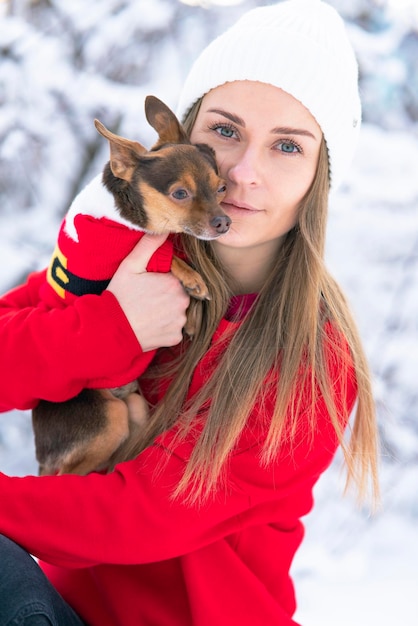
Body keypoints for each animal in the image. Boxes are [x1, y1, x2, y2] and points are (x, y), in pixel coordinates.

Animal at [31, 94, 230, 472]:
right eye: (180, 193)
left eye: (221, 188)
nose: (224, 222)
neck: (126, 215)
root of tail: (41, 451)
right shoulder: (111, 263)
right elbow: (164, 255)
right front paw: (193, 279)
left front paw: (194, 313)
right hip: (110, 418)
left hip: (134, 410)